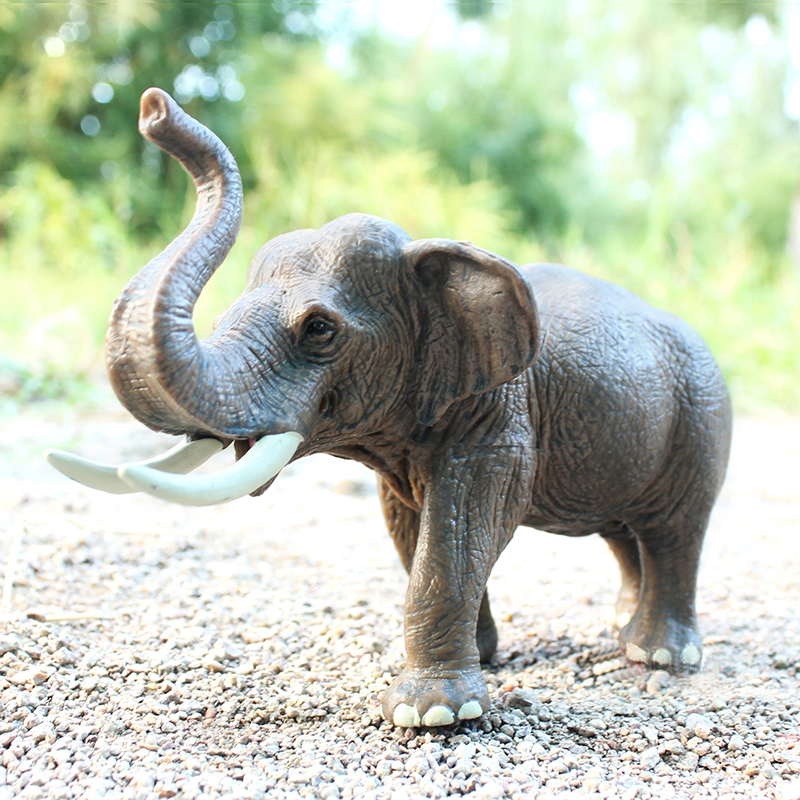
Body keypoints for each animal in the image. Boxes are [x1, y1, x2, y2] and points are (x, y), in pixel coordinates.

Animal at [45, 87, 732, 724]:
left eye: (319, 329)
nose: (153, 107)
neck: (427, 256)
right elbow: (410, 525)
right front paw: (482, 662)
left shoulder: (498, 413)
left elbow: (466, 522)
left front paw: (433, 715)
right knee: (624, 530)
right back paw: (623, 625)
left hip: (701, 414)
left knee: (675, 529)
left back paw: (658, 655)